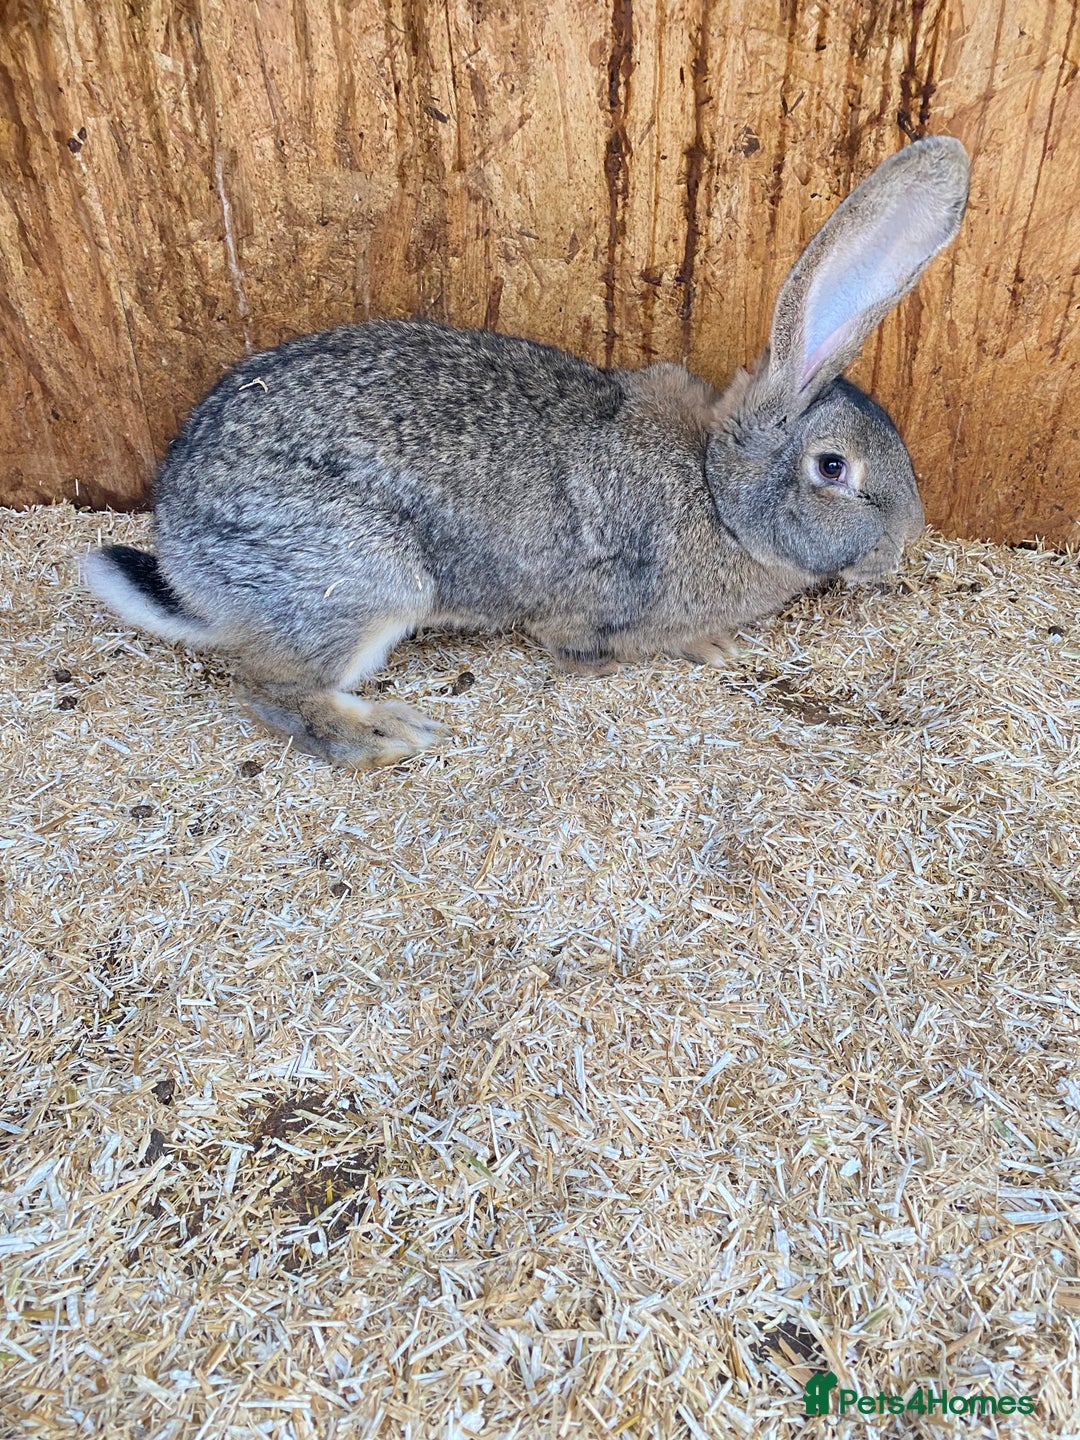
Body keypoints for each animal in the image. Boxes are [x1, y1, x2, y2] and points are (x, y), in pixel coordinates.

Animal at [83, 135, 970, 769]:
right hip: (362, 578)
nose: (905, 542)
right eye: (833, 469)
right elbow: (589, 645)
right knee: (272, 685)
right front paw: (704, 645)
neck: (718, 493)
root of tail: (184, 560)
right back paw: (386, 736)